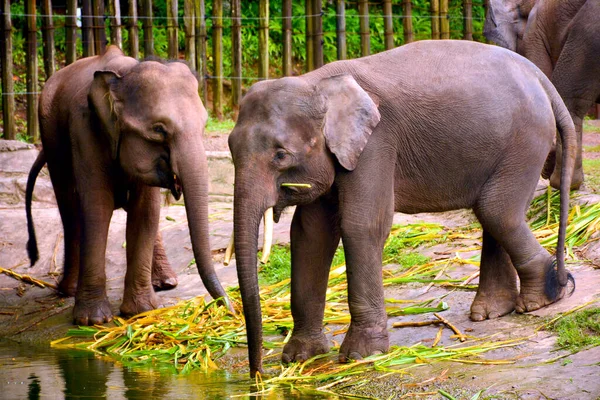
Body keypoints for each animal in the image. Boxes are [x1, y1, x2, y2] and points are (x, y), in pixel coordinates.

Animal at [24, 45, 230, 326]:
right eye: (158, 129)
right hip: (50, 133)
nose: (230, 307)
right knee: (69, 207)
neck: (124, 75)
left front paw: (141, 311)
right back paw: (67, 290)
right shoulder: (84, 129)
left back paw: (166, 282)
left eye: (204, 125)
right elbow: (97, 206)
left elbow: (146, 212)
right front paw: (93, 320)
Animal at [229, 39, 576, 376]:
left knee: (496, 210)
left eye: (280, 155)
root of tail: (541, 78)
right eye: (231, 149)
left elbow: (362, 226)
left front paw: (361, 356)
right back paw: (490, 312)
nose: (258, 373)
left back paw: (539, 301)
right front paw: (300, 358)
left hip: (526, 141)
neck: (317, 82)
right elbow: (310, 235)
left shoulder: (377, 143)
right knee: (492, 211)